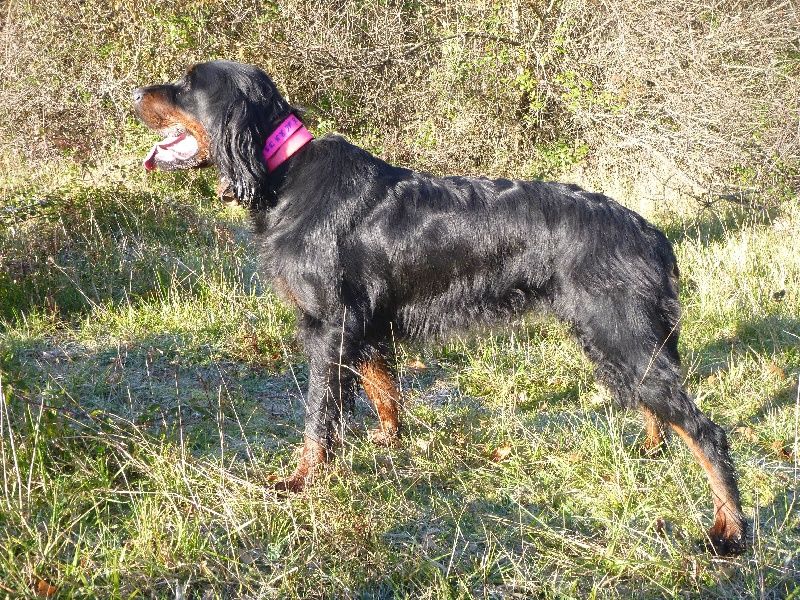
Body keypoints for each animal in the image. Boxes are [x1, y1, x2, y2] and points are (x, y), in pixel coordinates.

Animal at [130, 59, 744, 552]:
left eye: (186, 85)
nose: (133, 90)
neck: (283, 173)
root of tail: (651, 233)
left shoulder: (329, 327)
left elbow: (317, 416)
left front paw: (303, 480)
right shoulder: (366, 324)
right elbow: (383, 389)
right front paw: (389, 442)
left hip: (620, 331)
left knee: (707, 432)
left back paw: (729, 530)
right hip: (612, 337)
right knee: (656, 408)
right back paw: (650, 450)